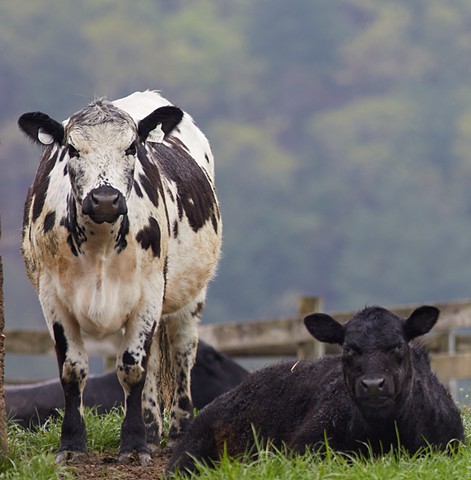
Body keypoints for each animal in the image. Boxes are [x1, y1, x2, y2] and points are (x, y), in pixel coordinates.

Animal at [18, 91, 223, 464]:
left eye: (131, 148)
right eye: (72, 148)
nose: (104, 199)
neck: (100, 241)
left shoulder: (149, 293)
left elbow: (132, 368)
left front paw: (133, 445)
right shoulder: (52, 296)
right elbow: (72, 370)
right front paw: (72, 444)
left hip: (190, 294)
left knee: (182, 352)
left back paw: (178, 432)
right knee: (155, 361)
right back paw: (152, 430)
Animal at [168, 306, 466, 474]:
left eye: (398, 346)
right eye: (348, 349)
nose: (372, 385)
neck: (385, 437)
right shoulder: (302, 450)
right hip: (191, 452)